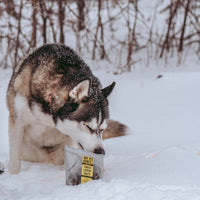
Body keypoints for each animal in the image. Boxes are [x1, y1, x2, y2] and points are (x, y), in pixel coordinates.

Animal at [6, 43, 126, 177]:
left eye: (102, 129)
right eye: (89, 127)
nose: (100, 151)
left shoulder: (69, 137)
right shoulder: (17, 121)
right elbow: (14, 161)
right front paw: (13, 175)